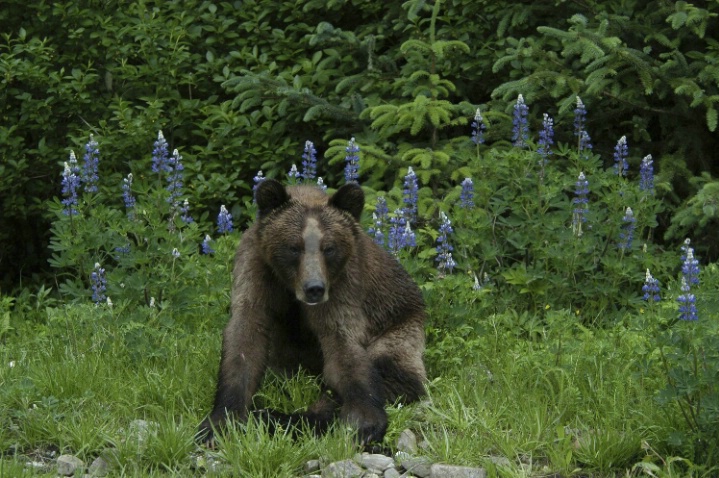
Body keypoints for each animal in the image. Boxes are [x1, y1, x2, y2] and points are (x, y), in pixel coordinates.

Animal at [197, 178, 424, 444]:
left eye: (329, 248)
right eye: (294, 247)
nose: (314, 288)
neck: (290, 287)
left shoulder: (343, 285)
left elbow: (343, 345)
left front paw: (364, 422)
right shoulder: (257, 271)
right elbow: (245, 339)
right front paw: (219, 422)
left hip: (401, 326)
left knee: (391, 370)